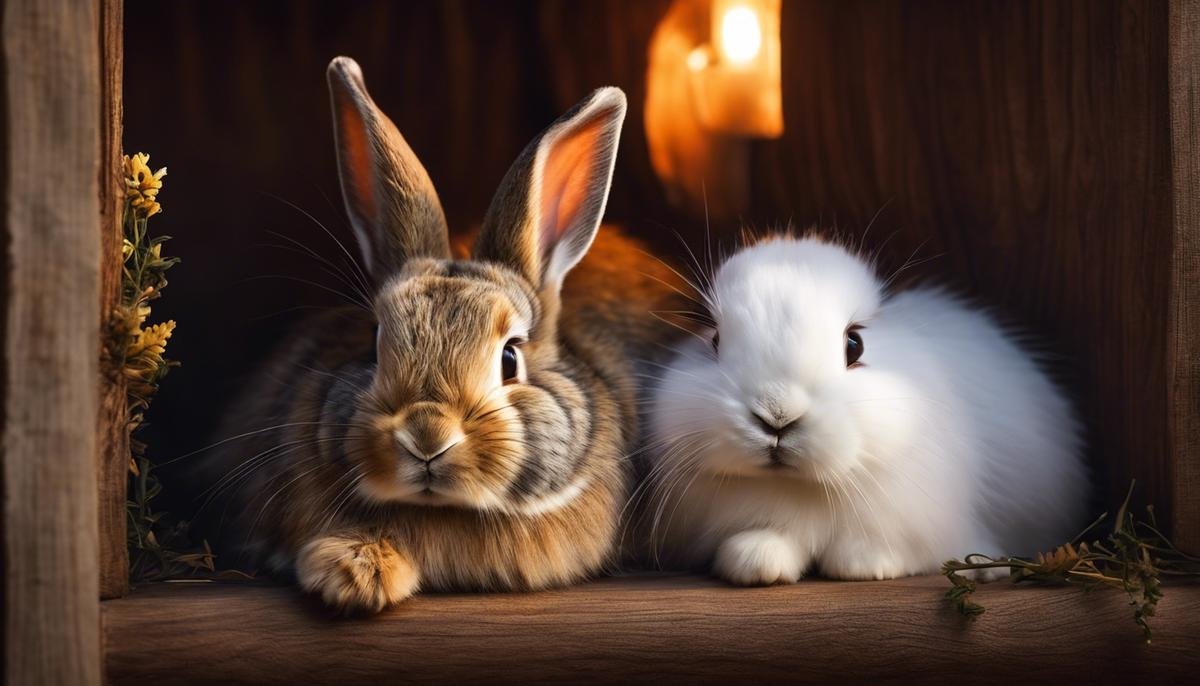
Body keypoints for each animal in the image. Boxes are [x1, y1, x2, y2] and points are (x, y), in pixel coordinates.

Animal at [648, 231, 1089, 585]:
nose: (777, 415)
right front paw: (755, 564)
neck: (802, 489)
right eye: (715, 340)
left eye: (855, 345)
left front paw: (865, 565)